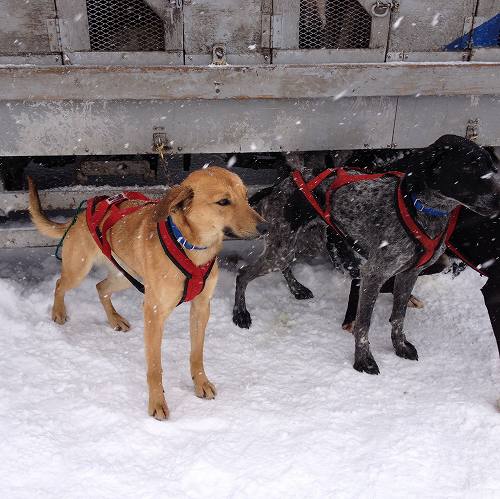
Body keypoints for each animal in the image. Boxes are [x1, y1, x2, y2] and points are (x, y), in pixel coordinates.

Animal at [28, 169, 266, 422]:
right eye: (223, 202)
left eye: (246, 197)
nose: (266, 227)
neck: (191, 247)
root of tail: (81, 215)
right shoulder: (153, 313)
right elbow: (154, 368)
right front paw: (157, 402)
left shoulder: (202, 307)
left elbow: (196, 354)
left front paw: (200, 383)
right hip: (78, 269)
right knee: (60, 284)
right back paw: (58, 311)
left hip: (124, 277)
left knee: (100, 287)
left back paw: (114, 319)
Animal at [234, 137, 500, 376]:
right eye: (467, 167)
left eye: (492, 167)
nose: (499, 201)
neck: (422, 211)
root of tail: (281, 185)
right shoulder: (373, 274)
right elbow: (363, 324)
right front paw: (363, 360)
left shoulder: (409, 273)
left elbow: (398, 317)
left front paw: (399, 347)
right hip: (283, 249)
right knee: (243, 274)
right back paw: (240, 313)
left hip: (301, 244)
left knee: (284, 264)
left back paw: (296, 288)